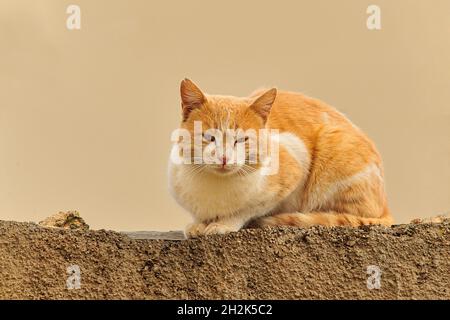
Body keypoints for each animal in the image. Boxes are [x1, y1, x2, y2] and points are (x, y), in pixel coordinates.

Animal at [169, 78, 394, 238]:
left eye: (242, 140)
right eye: (209, 137)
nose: (224, 158)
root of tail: (385, 208)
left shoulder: (294, 167)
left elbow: (246, 210)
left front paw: (223, 224)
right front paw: (199, 224)